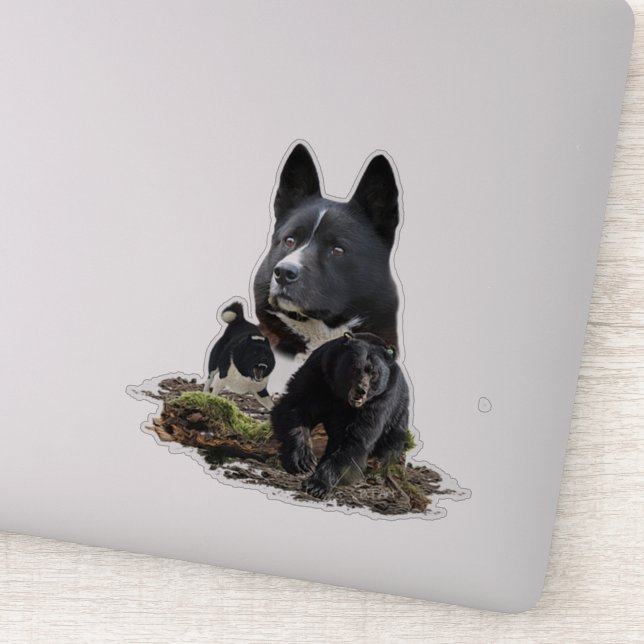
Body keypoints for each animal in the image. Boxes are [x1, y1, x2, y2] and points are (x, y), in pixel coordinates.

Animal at [271, 331, 410, 499]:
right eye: (354, 368)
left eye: (374, 373)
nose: (360, 391)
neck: (342, 397)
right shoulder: (319, 374)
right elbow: (295, 407)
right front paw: (303, 461)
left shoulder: (379, 401)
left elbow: (354, 440)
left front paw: (317, 485)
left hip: (397, 418)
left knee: (391, 445)